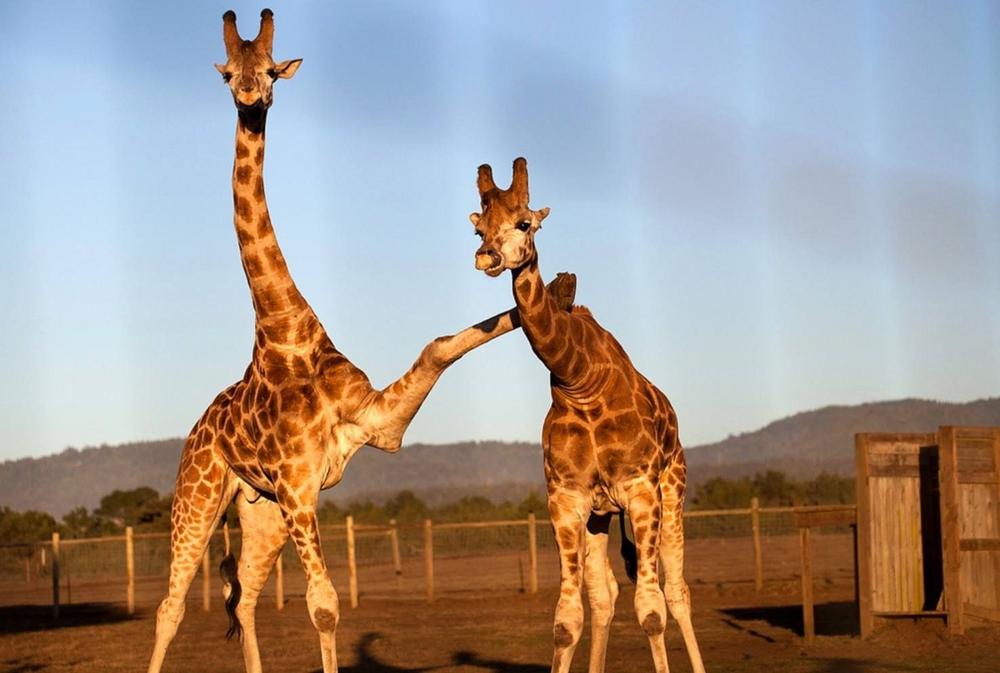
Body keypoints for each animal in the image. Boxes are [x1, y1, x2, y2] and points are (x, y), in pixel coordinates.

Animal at [147, 13, 576, 673]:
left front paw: (558, 286)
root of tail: (196, 431)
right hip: (198, 497)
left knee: (244, 598)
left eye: (270, 70)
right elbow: (323, 605)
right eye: (227, 74)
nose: (250, 95)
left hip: (260, 510)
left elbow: (437, 345)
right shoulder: (299, 485)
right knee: (169, 608)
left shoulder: (371, 429)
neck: (285, 331)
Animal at [468, 158, 706, 673]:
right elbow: (567, 617)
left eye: (525, 223)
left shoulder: (640, 492)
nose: (486, 256)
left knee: (677, 592)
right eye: (477, 227)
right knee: (605, 595)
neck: (580, 380)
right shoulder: (567, 498)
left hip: (673, 490)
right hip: (601, 517)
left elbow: (652, 610)